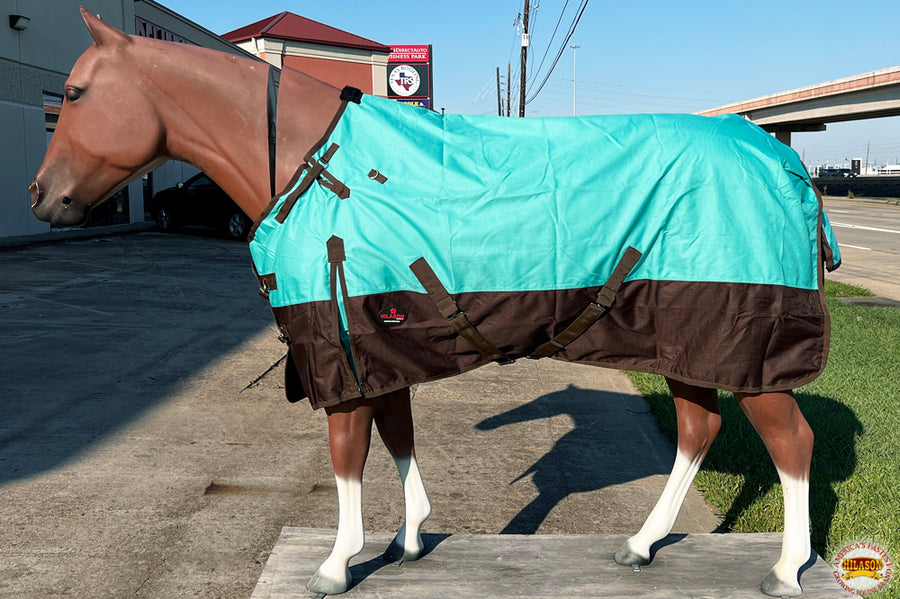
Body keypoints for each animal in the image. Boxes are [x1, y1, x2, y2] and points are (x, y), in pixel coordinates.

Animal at [30, 8, 833, 597]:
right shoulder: (380, 344)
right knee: (699, 429)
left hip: (747, 347)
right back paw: (639, 545)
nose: (41, 197)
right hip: (687, 337)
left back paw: (785, 568)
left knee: (793, 443)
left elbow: (349, 454)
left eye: (73, 94)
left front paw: (336, 563)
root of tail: (782, 155)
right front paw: (408, 537)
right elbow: (397, 437)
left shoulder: (343, 351)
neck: (314, 165)